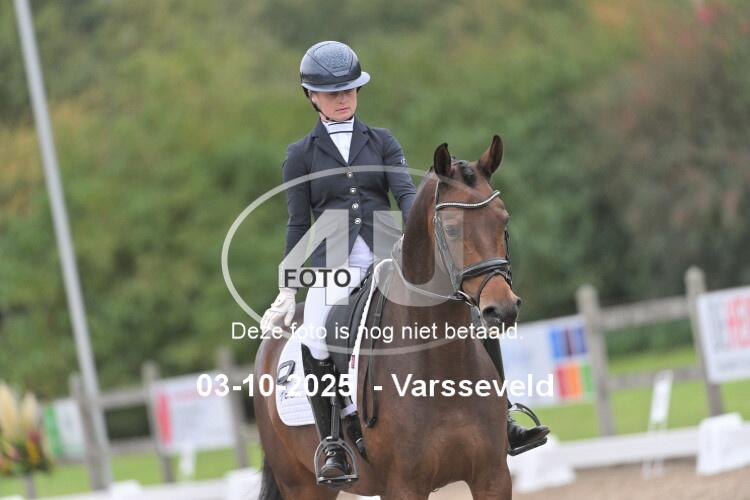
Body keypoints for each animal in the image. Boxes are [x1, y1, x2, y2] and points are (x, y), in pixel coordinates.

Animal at [254, 135, 519, 500]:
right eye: (451, 229)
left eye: (503, 220)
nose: (502, 309)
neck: (441, 367)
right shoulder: (402, 486)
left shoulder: (493, 476)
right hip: (301, 485)